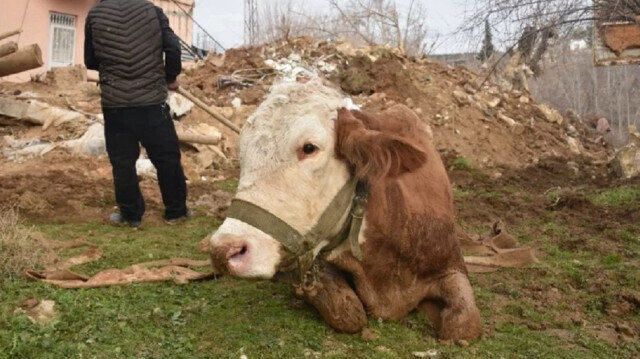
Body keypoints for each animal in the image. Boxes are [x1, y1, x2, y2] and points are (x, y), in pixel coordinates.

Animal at [208, 78, 482, 340]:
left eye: (309, 148)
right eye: (242, 151)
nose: (223, 250)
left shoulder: (452, 264)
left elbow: (462, 326)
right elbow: (348, 313)